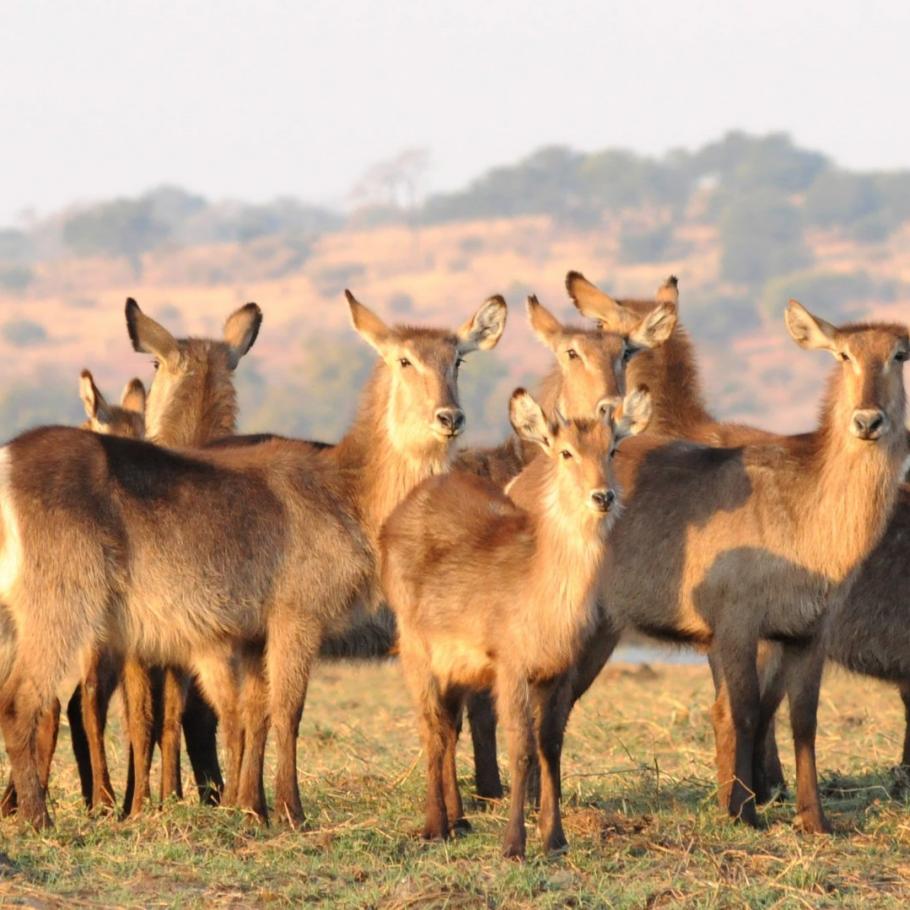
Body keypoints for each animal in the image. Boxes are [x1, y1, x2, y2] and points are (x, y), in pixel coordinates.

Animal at [382, 388, 652, 860]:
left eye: (612, 449)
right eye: (565, 451)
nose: (603, 496)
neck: (544, 595)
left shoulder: (558, 673)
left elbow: (552, 749)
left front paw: (555, 839)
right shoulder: (512, 670)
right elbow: (522, 750)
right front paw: (513, 845)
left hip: (459, 667)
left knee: (448, 729)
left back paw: (459, 820)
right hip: (417, 650)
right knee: (431, 729)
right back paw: (435, 826)